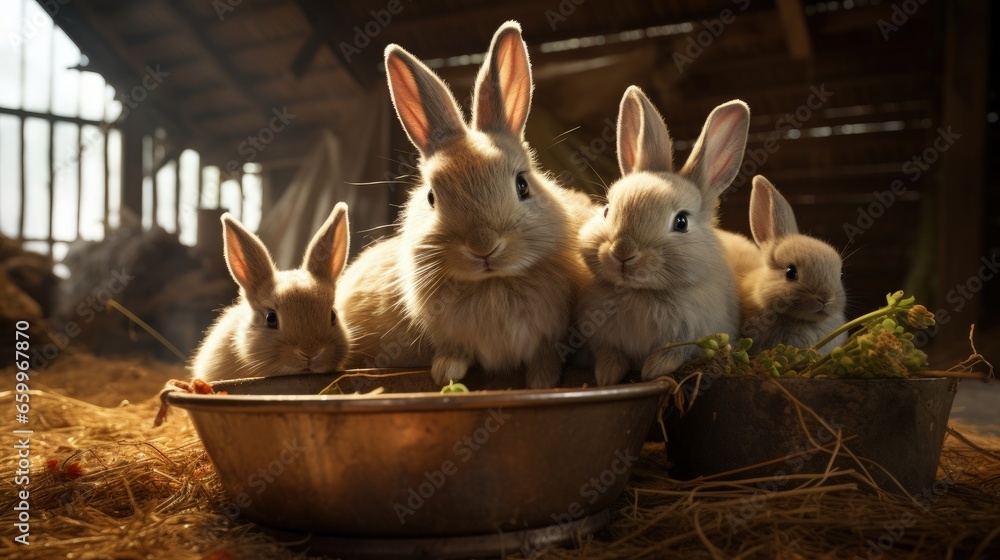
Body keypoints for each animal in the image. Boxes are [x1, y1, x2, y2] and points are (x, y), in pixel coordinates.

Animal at [337, 21, 592, 389]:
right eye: (431, 197)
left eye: (522, 185)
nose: (483, 247)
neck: (492, 283)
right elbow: (455, 351)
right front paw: (445, 372)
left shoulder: (548, 337)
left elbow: (544, 359)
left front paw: (542, 383)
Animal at [576, 86, 748, 386]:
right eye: (607, 210)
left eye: (681, 222)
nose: (623, 253)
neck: (640, 293)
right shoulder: (604, 342)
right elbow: (610, 356)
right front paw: (607, 377)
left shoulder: (691, 336)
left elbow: (674, 353)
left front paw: (653, 369)